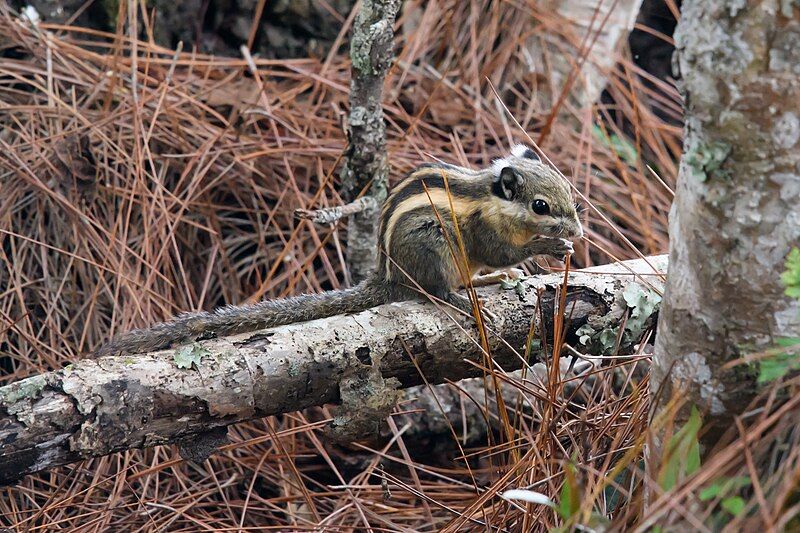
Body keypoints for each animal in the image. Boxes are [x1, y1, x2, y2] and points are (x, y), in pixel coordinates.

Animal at [92, 143, 580, 356]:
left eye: (569, 193)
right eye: (540, 205)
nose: (577, 227)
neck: (493, 201)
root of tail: (387, 276)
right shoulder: (482, 232)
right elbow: (501, 250)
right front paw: (551, 244)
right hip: (432, 246)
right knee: (433, 291)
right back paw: (460, 300)